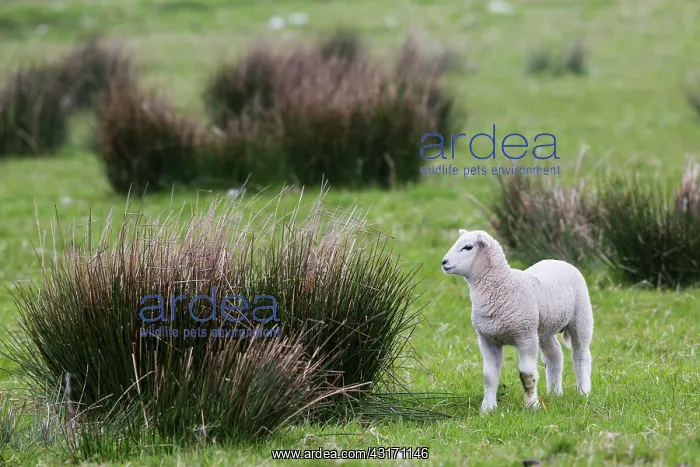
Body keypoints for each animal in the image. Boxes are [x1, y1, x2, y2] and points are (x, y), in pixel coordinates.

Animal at [441, 229, 593, 413]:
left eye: (467, 247)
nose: (444, 262)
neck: (503, 286)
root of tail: (559, 261)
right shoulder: (487, 339)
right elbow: (489, 376)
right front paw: (488, 408)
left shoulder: (525, 336)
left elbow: (527, 375)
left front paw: (532, 406)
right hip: (543, 330)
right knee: (555, 355)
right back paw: (554, 393)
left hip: (581, 317)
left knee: (581, 355)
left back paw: (583, 391)